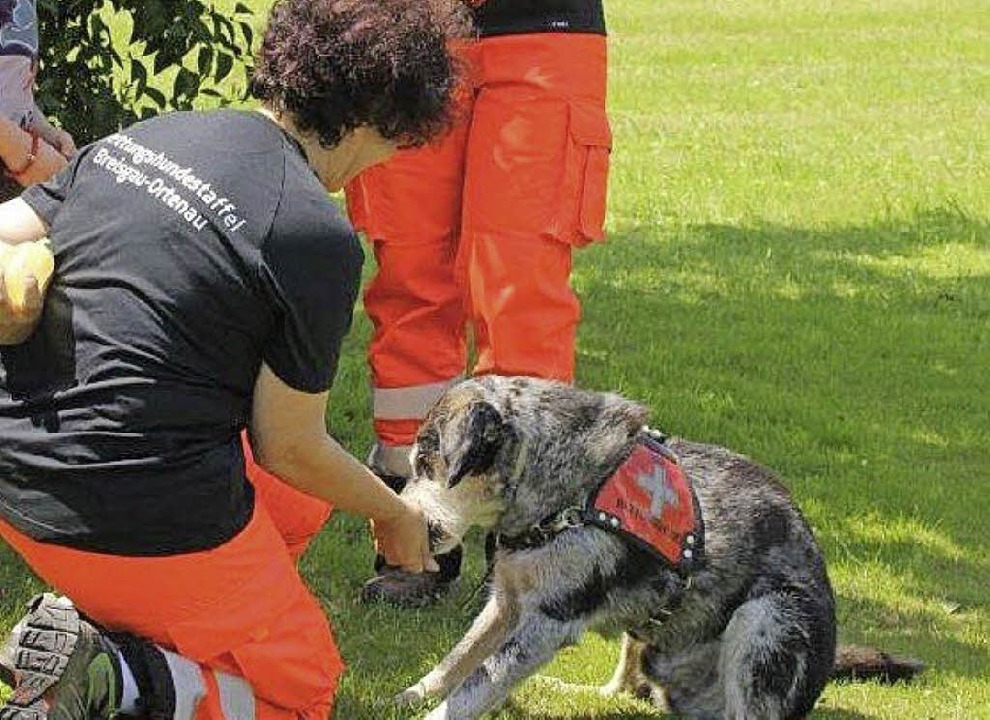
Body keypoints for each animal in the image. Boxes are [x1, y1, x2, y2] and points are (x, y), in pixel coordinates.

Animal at [394, 376, 924, 720]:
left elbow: (477, 683)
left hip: (767, 618)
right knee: (624, 689)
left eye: (425, 463)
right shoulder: (505, 604)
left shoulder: (549, 621)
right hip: (645, 634)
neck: (568, 490)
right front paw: (413, 692)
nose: (400, 518)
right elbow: (459, 659)